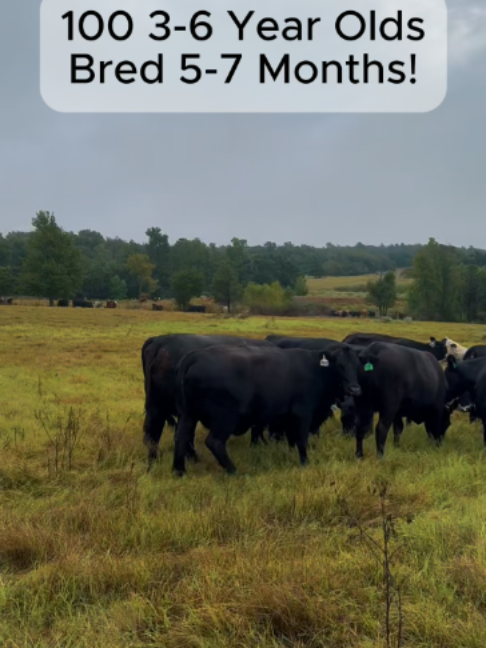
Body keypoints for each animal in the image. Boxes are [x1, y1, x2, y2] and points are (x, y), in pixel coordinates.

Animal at [172, 343, 362, 476]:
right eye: (339, 365)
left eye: (357, 364)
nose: (355, 389)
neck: (316, 369)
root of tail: (197, 355)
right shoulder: (303, 414)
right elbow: (301, 440)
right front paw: (305, 463)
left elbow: (291, 440)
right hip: (225, 418)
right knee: (215, 442)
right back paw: (234, 471)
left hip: (188, 415)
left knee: (181, 437)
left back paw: (179, 470)